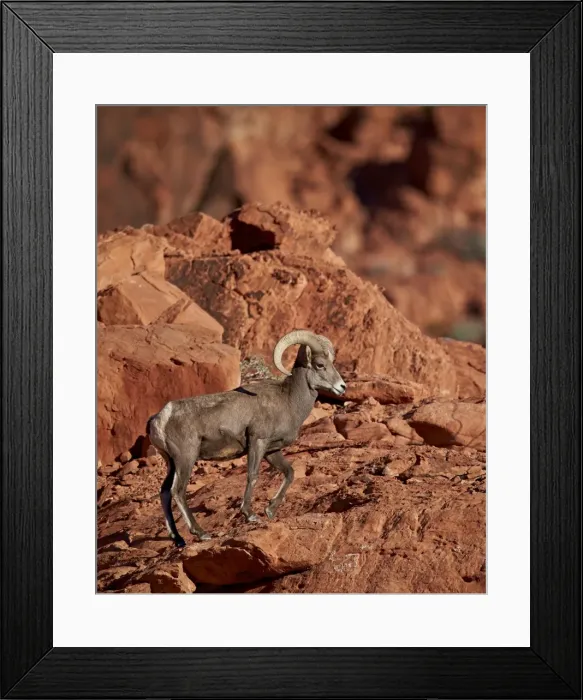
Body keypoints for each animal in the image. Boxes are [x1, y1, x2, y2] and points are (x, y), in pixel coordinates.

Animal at [147, 329, 346, 547]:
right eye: (320, 365)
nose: (342, 387)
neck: (288, 401)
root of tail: (160, 419)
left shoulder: (272, 450)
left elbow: (290, 473)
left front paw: (270, 510)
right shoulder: (257, 442)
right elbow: (252, 475)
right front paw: (250, 514)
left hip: (171, 463)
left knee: (165, 493)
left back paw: (178, 539)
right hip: (186, 458)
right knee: (178, 491)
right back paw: (201, 533)